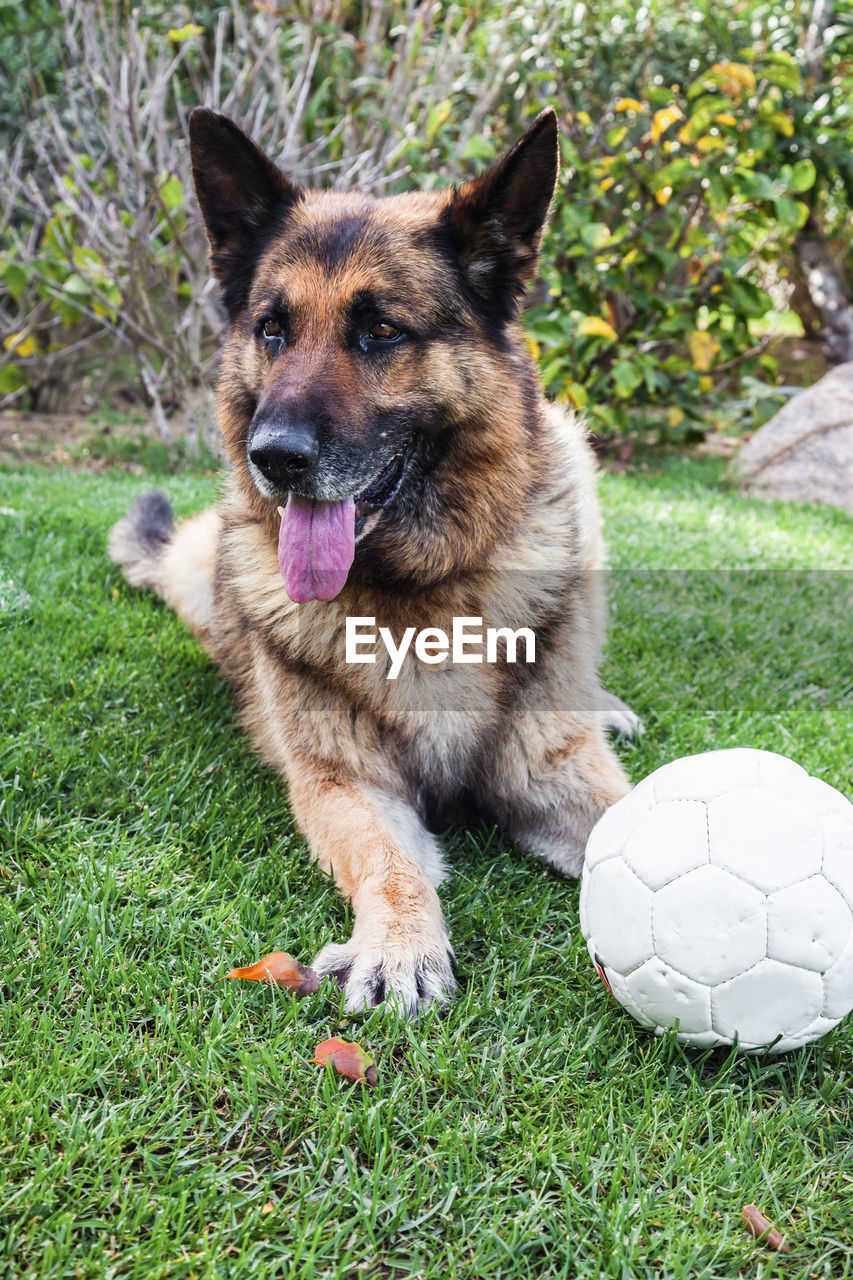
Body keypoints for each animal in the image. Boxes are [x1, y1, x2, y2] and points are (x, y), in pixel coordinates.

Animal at [109, 107, 635, 1008]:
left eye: (381, 330)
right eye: (272, 329)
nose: (274, 458)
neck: (421, 589)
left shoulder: (547, 769)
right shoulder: (344, 785)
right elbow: (390, 863)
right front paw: (399, 945)